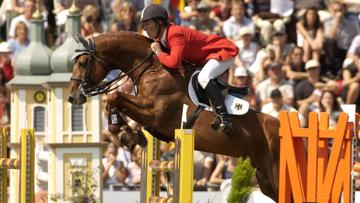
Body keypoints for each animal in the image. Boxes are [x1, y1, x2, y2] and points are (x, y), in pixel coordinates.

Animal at [68, 31, 282, 200]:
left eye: (83, 62)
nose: (72, 97)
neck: (151, 68)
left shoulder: (156, 112)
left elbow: (115, 96)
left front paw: (124, 132)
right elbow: (115, 102)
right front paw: (128, 134)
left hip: (274, 173)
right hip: (264, 178)